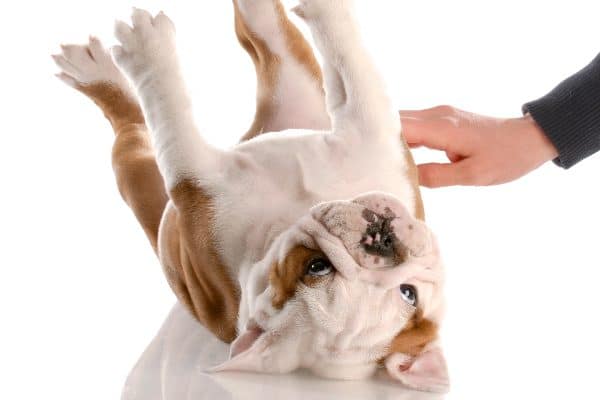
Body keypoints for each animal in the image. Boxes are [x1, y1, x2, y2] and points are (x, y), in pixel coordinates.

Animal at [55, 0, 446, 392]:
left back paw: (108, 65)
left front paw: (149, 51)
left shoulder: (193, 176)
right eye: (409, 293)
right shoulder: (377, 137)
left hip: (136, 172)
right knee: (272, 38)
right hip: (299, 85)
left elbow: (171, 117)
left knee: (136, 128)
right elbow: (351, 60)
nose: (381, 240)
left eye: (315, 266)